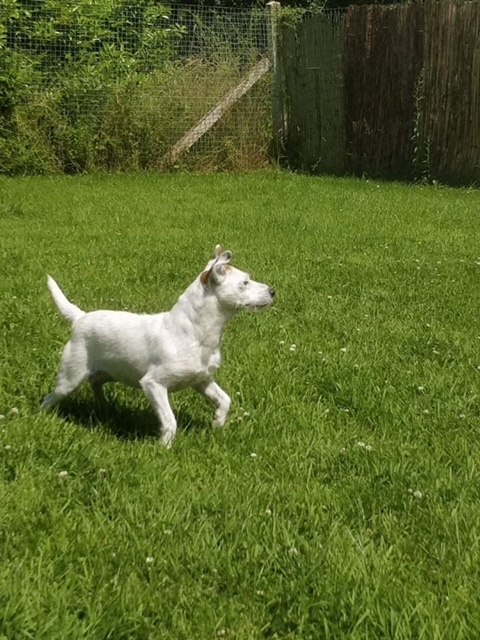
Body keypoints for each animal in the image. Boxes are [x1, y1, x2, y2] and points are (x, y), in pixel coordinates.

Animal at [42, 245, 274, 444]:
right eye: (245, 283)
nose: (273, 291)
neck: (196, 333)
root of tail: (80, 317)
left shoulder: (202, 379)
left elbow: (225, 399)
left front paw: (217, 423)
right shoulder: (154, 384)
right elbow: (170, 420)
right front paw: (164, 447)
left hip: (108, 372)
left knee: (96, 383)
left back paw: (106, 407)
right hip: (70, 378)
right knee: (50, 398)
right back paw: (42, 417)